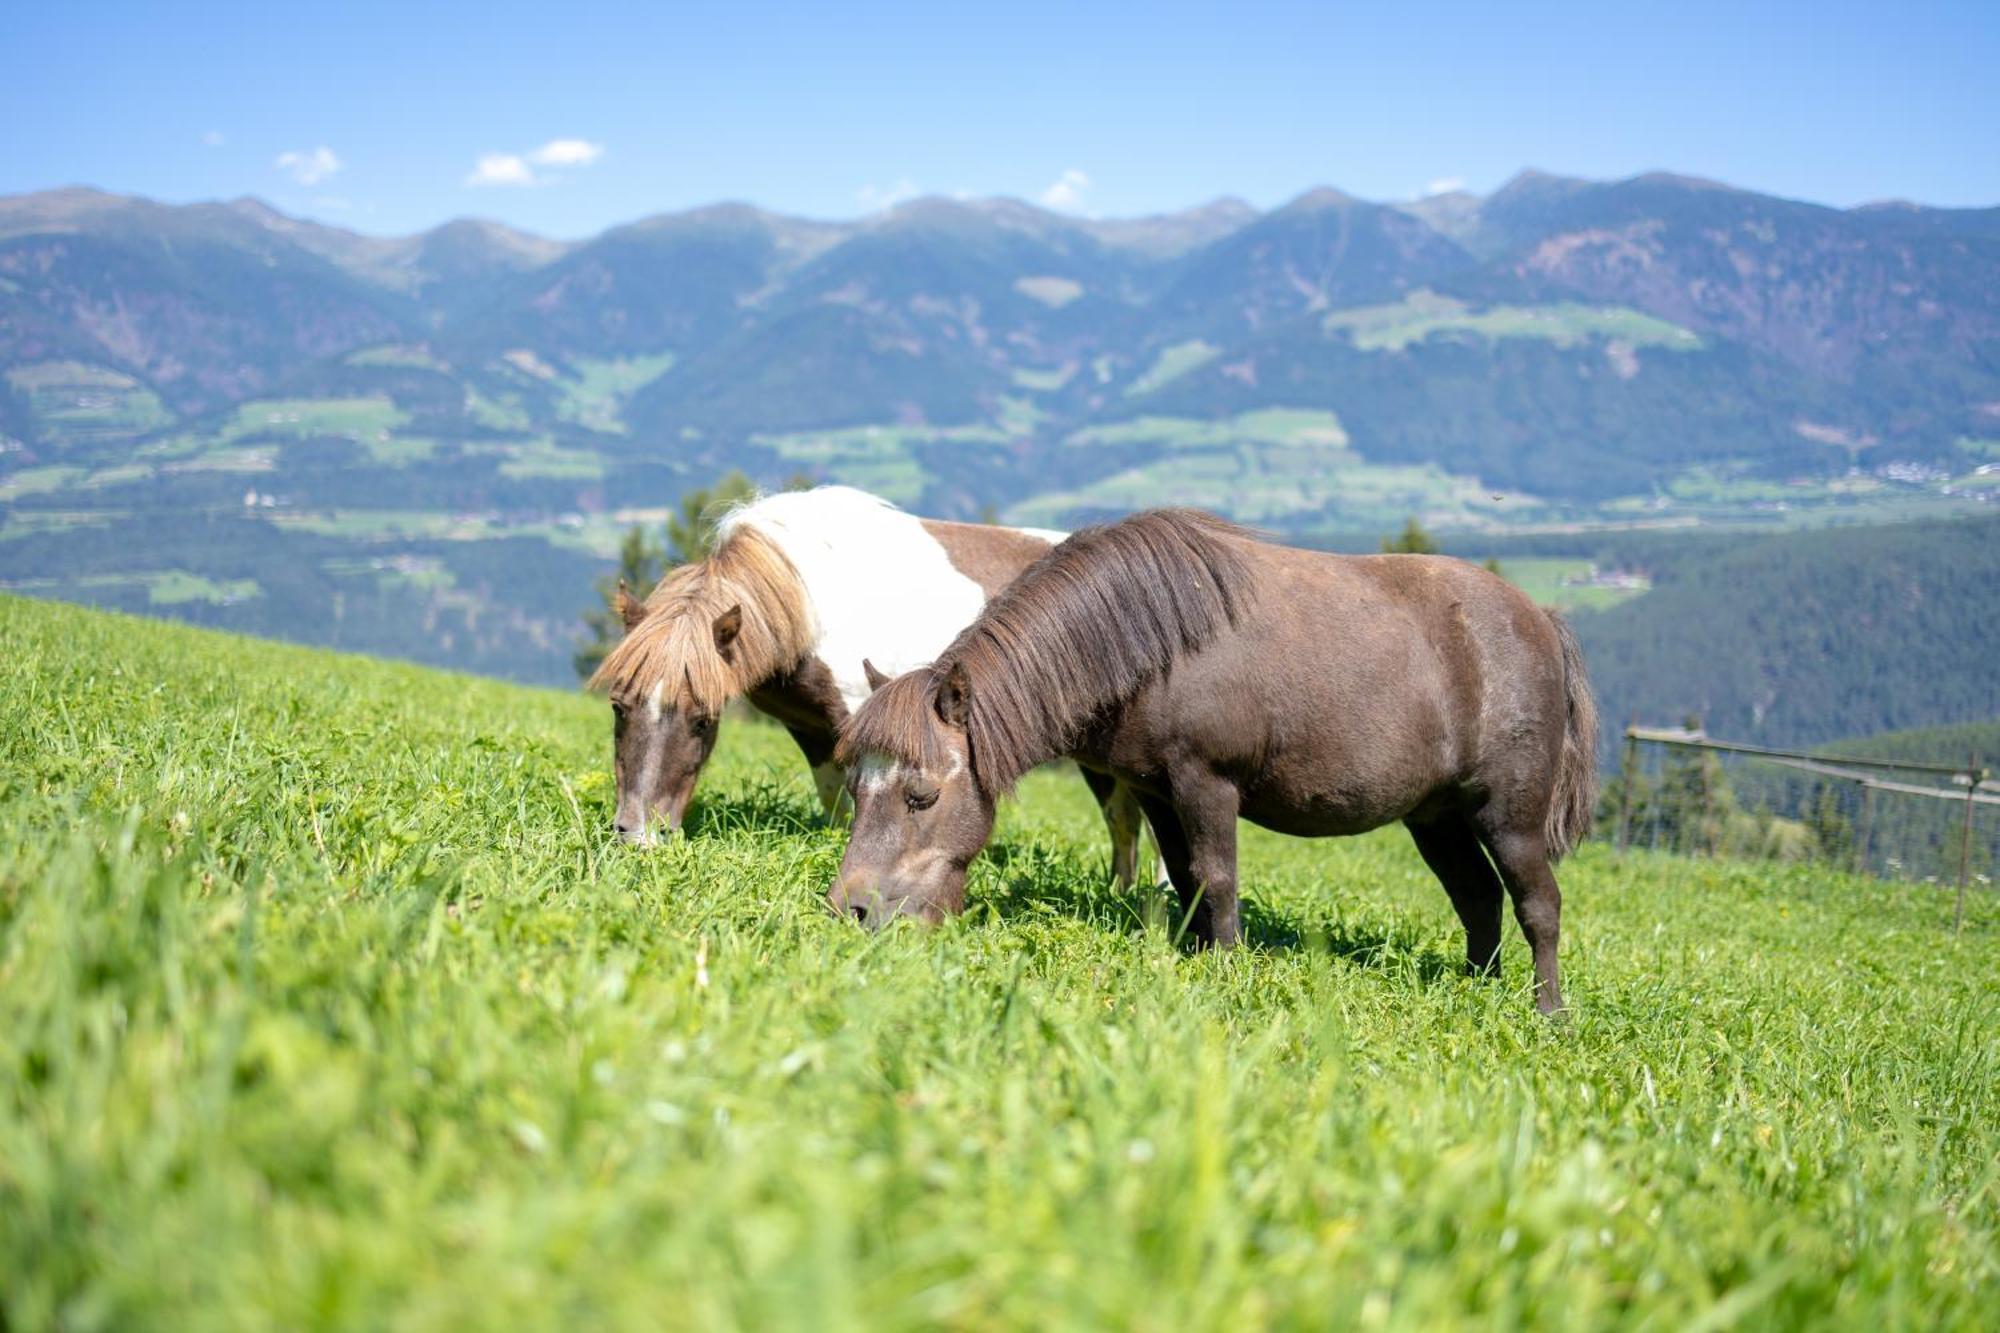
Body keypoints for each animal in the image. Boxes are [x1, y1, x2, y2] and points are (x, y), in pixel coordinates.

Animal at [588, 482, 1160, 876]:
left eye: (703, 720)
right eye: (618, 706)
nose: (638, 836)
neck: (809, 597)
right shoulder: (812, 729)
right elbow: (836, 800)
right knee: (1124, 821)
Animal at [828, 508, 1592, 1008]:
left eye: (922, 795)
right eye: (858, 788)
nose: (849, 909)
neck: (1143, 638)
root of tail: (1542, 621)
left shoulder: (1207, 784)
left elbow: (1219, 879)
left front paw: (1225, 969)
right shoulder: (1159, 792)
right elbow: (1190, 880)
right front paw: (1191, 958)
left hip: (1508, 816)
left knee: (1538, 903)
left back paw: (1546, 1008)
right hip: (1435, 818)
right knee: (1478, 897)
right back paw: (1477, 989)